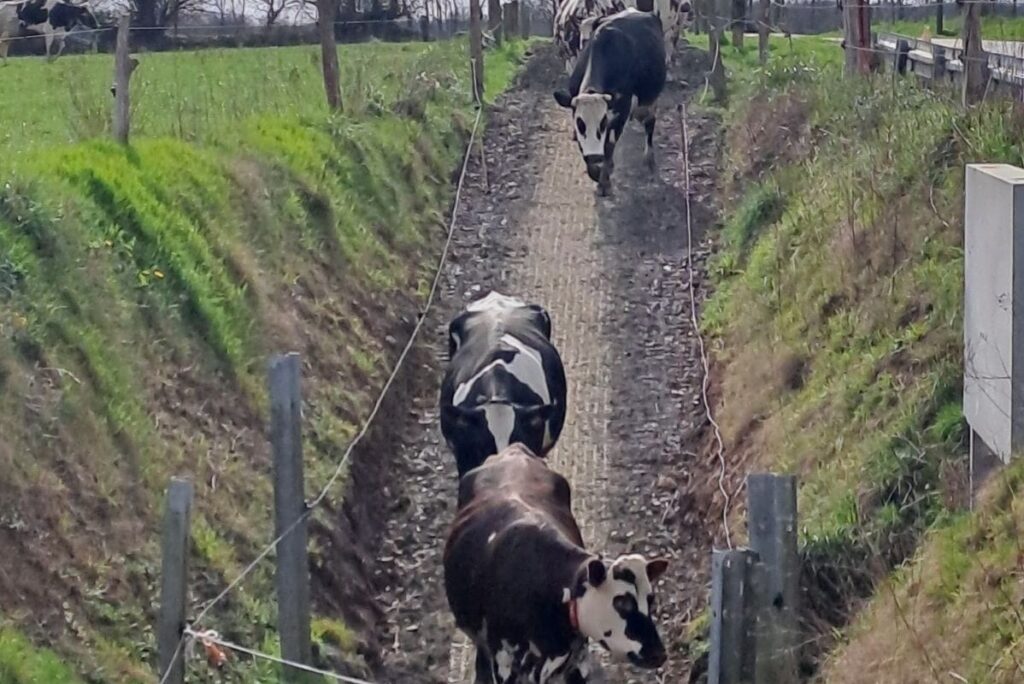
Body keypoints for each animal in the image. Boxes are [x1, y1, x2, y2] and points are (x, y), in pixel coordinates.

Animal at [442, 446, 671, 679]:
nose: (658, 654)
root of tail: (514, 450)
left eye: (650, 599)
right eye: (622, 603)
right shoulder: (504, 663)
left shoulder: (570, 662)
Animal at [557, 8, 667, 194]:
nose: (594, 157)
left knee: (649, 122)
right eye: (580, 124)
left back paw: (649, 160)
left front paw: (604, 181)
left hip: (651, 98)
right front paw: (595, 172)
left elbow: (609, 144)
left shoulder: (623, 107)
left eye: (601, 123)